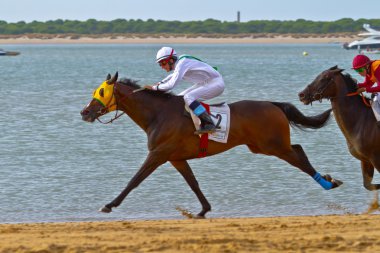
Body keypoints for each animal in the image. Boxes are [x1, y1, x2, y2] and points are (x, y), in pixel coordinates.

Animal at [80, 71, 342, 217]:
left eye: (101, 92)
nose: (85, 112)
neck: (158, 114)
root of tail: (272, 104)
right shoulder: (175, 158)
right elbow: (193, 183)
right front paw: (203, 209)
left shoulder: (158, 154)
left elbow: (134, 180)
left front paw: (109, 204)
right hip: (264, 146)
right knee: (299, 150)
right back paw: (329, 179)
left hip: (273, 145)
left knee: (299, 158)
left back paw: (328, 183)